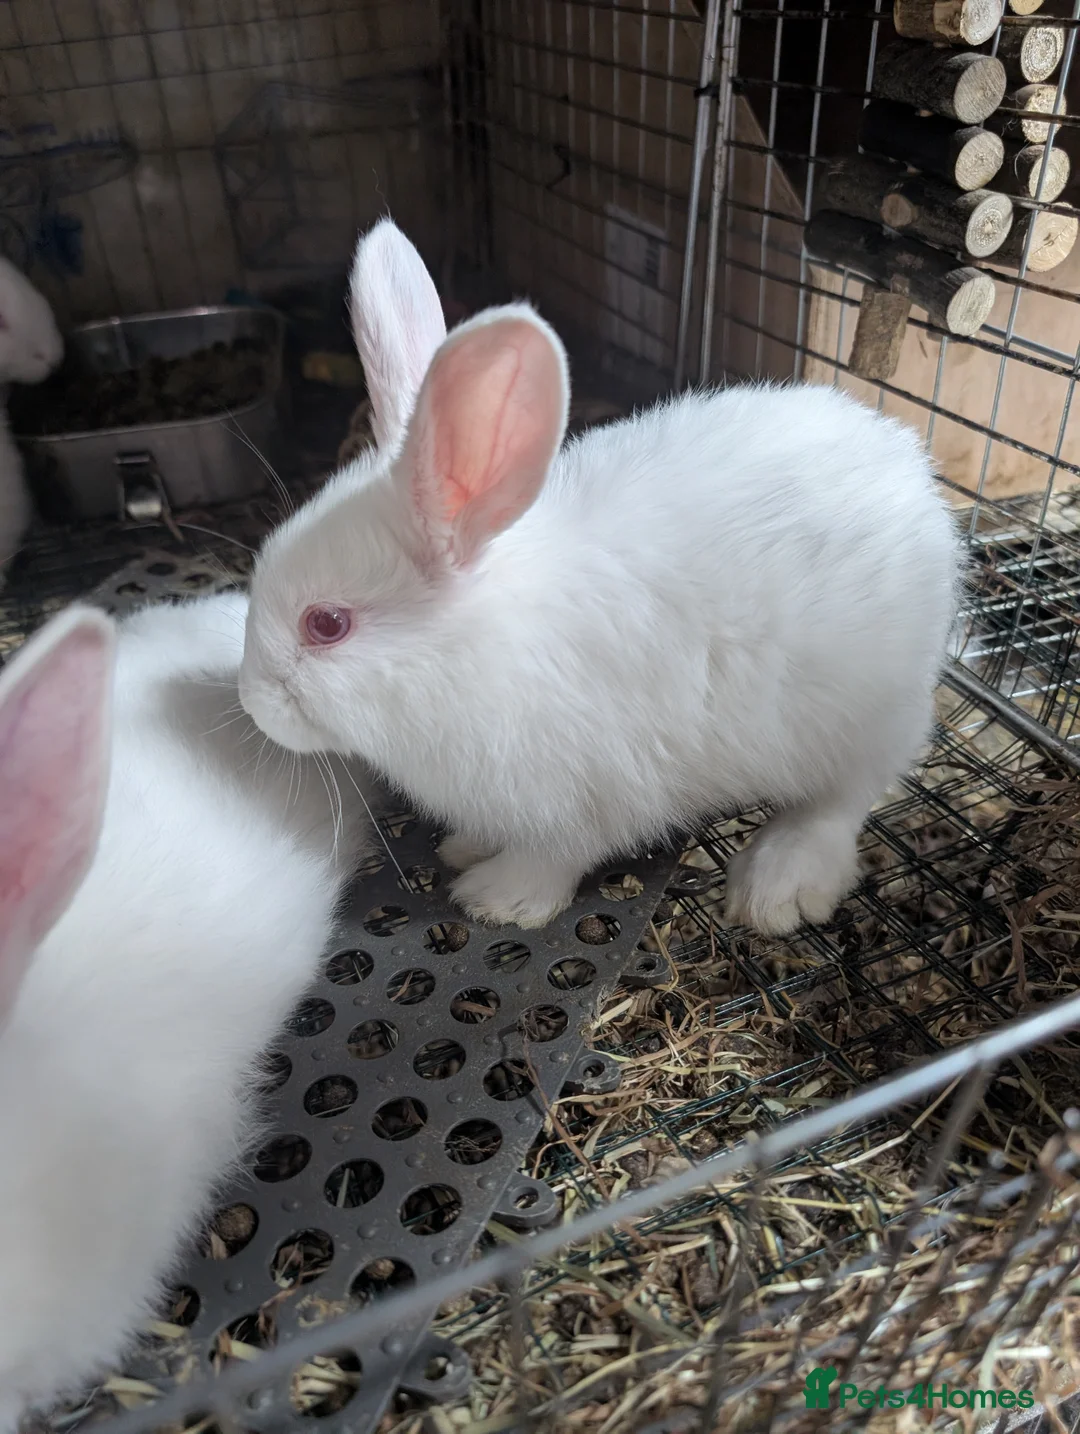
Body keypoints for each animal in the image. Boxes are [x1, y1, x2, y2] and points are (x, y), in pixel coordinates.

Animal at [237, 218, 962, 937]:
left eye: (327, 624)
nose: (251, 701)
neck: (474, 650)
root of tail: (907, 465)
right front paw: (467, 846)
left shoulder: (591, 796)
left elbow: (556, 855)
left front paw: (497, 897)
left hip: (860, 720)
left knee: (845, 798)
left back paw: (779, 884)